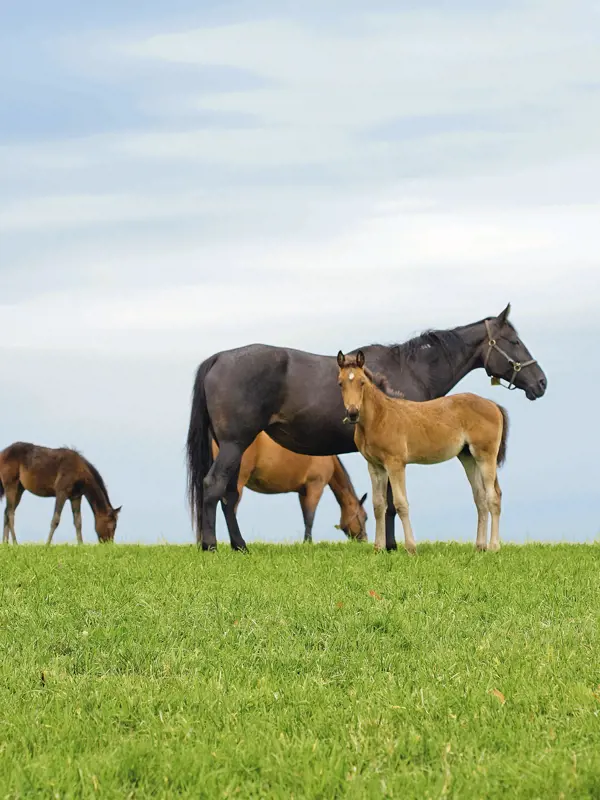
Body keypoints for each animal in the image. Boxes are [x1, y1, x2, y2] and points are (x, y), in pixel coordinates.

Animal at [213, 432, 368, 544]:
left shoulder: (303, 492)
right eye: (365, 517)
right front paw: (308, 543)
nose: (364, 540)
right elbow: (310, 518)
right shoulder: (315, 487)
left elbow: (306, 517)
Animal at [336, 354, 508, 552]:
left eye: (362, 382)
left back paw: (494, 546)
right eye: (340, 383)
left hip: (486, 456)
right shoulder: (375, 466)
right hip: (468, 458)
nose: (353, 413)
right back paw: (480, 547)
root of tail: (493, 405)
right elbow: (378, 505)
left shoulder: (395, 464)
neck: (379, 417)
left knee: (493, 497)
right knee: (480, 497)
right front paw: (378, 548)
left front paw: (411, 548)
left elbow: (401, 503)